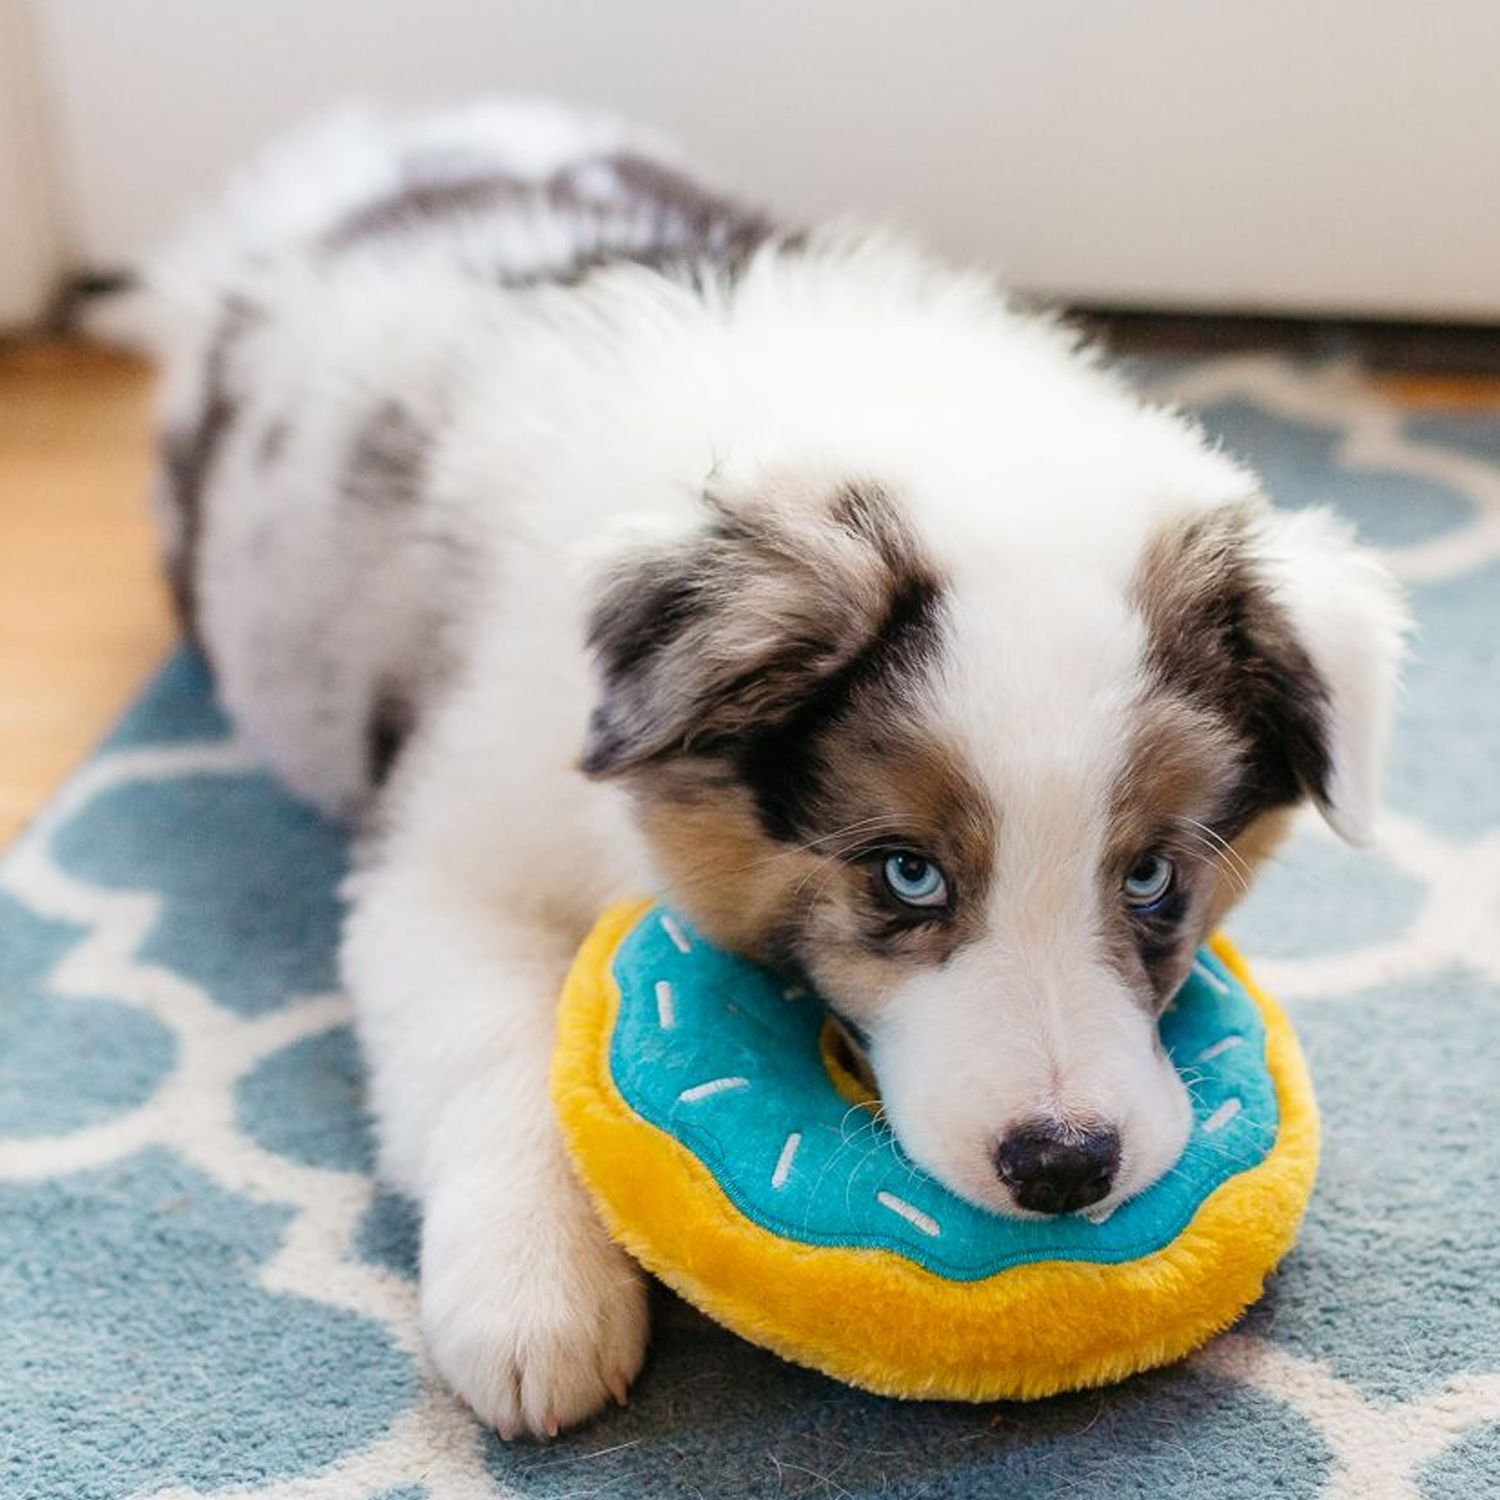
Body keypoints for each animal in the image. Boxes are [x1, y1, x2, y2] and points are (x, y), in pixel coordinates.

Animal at [146, 98, 1406, 1437]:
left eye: (1155, 878)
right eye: (906, 873)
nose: (1064, 1166)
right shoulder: (452, 853)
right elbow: (490, 1042)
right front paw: (534, 1299)